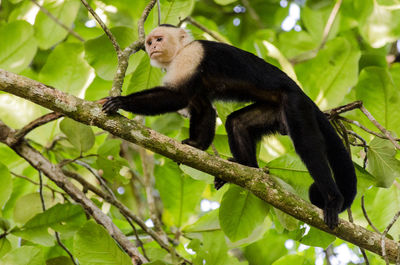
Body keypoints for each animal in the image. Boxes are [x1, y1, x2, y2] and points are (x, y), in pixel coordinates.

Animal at [102, 23, 356, 228]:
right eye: (149, 41)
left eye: (159, 39)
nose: (152, 47)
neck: (181, 50)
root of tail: (303, 95)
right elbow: (204, 109)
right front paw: (195, 145)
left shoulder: (190, 57)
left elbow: (178, 96)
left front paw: (121, 102)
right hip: (276, 110)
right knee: (236, 122)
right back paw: (248, 168)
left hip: (294, 104)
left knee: (308, 147)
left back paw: (332, 200)